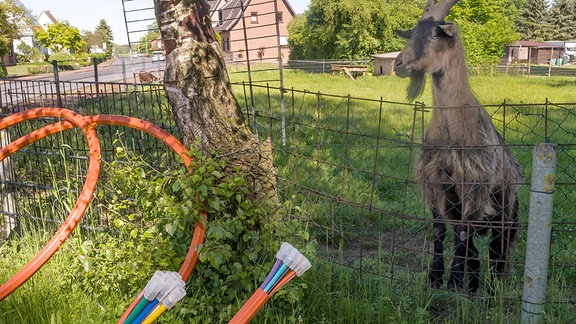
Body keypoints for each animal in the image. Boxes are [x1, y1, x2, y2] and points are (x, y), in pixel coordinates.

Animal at [396, 0, 520, 294]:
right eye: (412, 33)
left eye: (434, 35)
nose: (398, 63)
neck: (452, 129)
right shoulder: (438, 184)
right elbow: (442, 230)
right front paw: (436, 279)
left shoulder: (473, 186)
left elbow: (462, 233)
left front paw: (453, 281)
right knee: (478, 249)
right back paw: (474, 283)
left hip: (505, 216)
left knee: (498, 250)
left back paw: (492, 288)